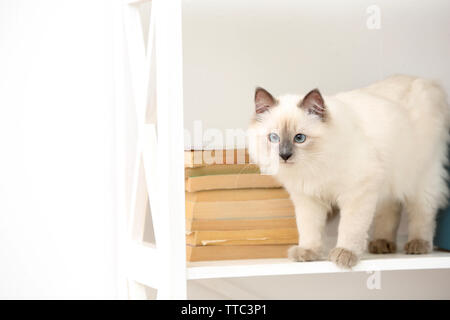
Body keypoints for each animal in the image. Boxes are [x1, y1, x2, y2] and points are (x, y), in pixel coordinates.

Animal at [248, 74, 448, 268]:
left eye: (299, 138)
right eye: (274, 138)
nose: (284, 155)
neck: (313, 167)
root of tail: (425, 82)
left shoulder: (358, 192)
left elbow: (350, 227)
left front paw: (345, 254)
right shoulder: (308, 198)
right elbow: (308, 229)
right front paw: (308, 252)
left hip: (421, 177)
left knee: (423, 213)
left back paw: (418, 245)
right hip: (387, 182)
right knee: (390, 209)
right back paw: (382, 244)